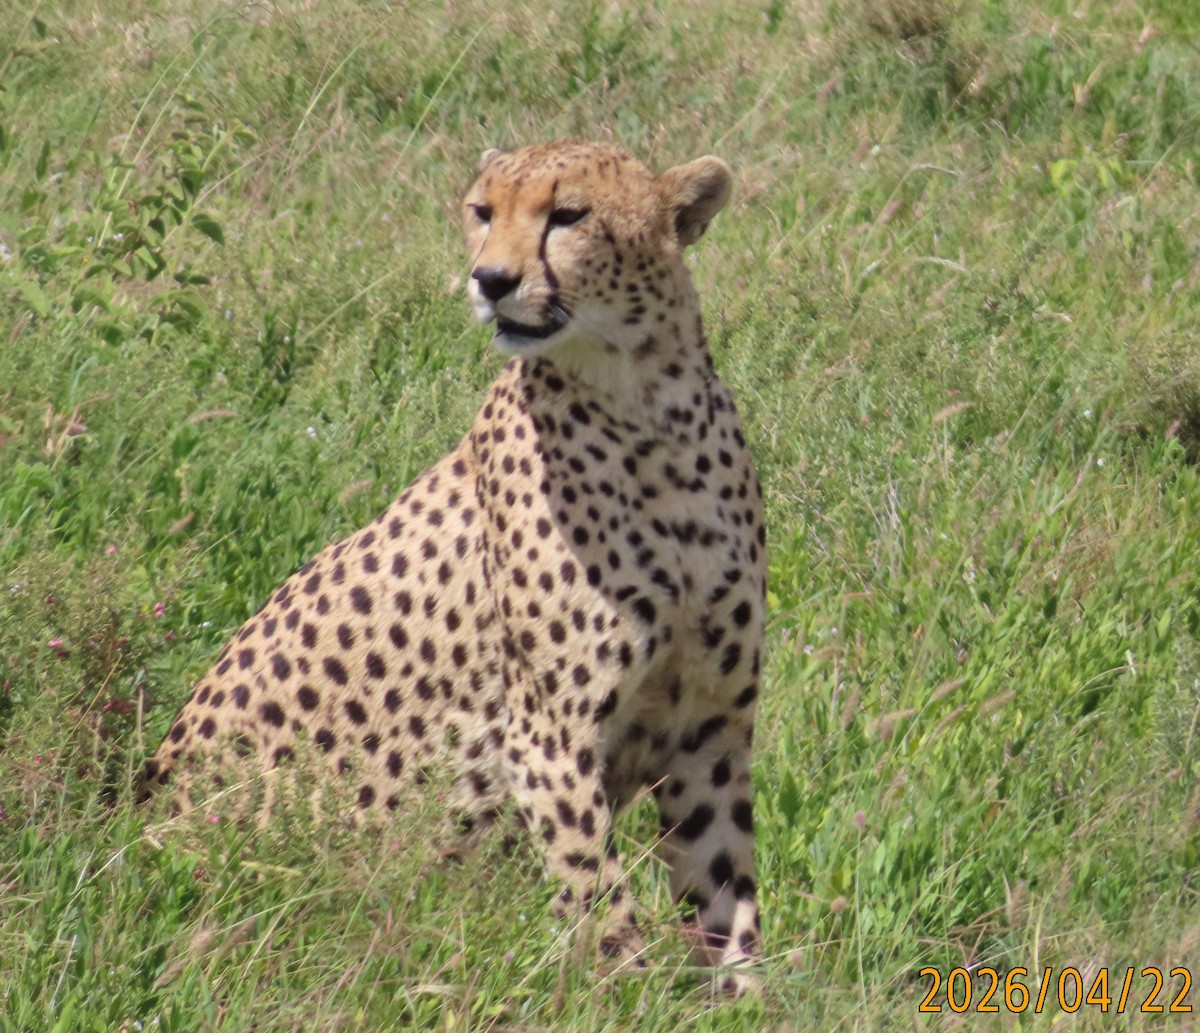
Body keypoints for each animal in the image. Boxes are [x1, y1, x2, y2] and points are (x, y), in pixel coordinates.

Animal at [139, 139, 767, 990]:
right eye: (482, 211)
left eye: (569, 214)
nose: (491, 279)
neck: (646, 403)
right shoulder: (548, 739)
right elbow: (601, 899)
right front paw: (626, 996)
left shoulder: (709, 732)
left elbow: (727, 895)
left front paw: (745, 995)